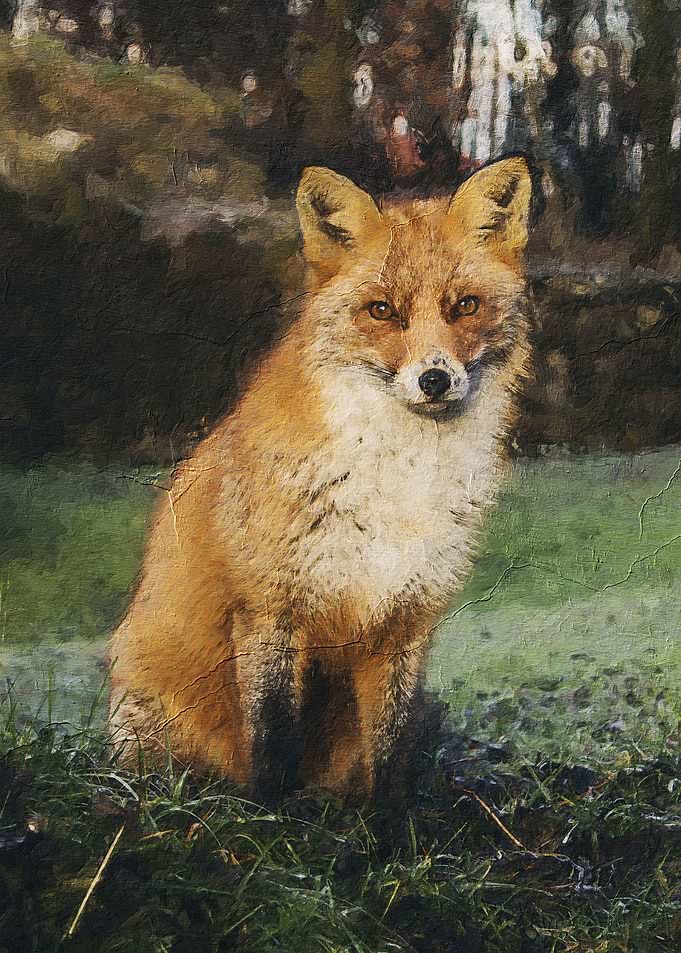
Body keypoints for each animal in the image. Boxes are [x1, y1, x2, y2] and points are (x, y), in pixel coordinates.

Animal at [108, 155, 534, 800]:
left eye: (465, 306)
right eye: (382, 310)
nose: (435, 379)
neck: (400, 483)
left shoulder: (405, 623)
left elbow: (390, 752)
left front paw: (391, 821)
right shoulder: (270, 610)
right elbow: (273, 743)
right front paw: (273, 817)